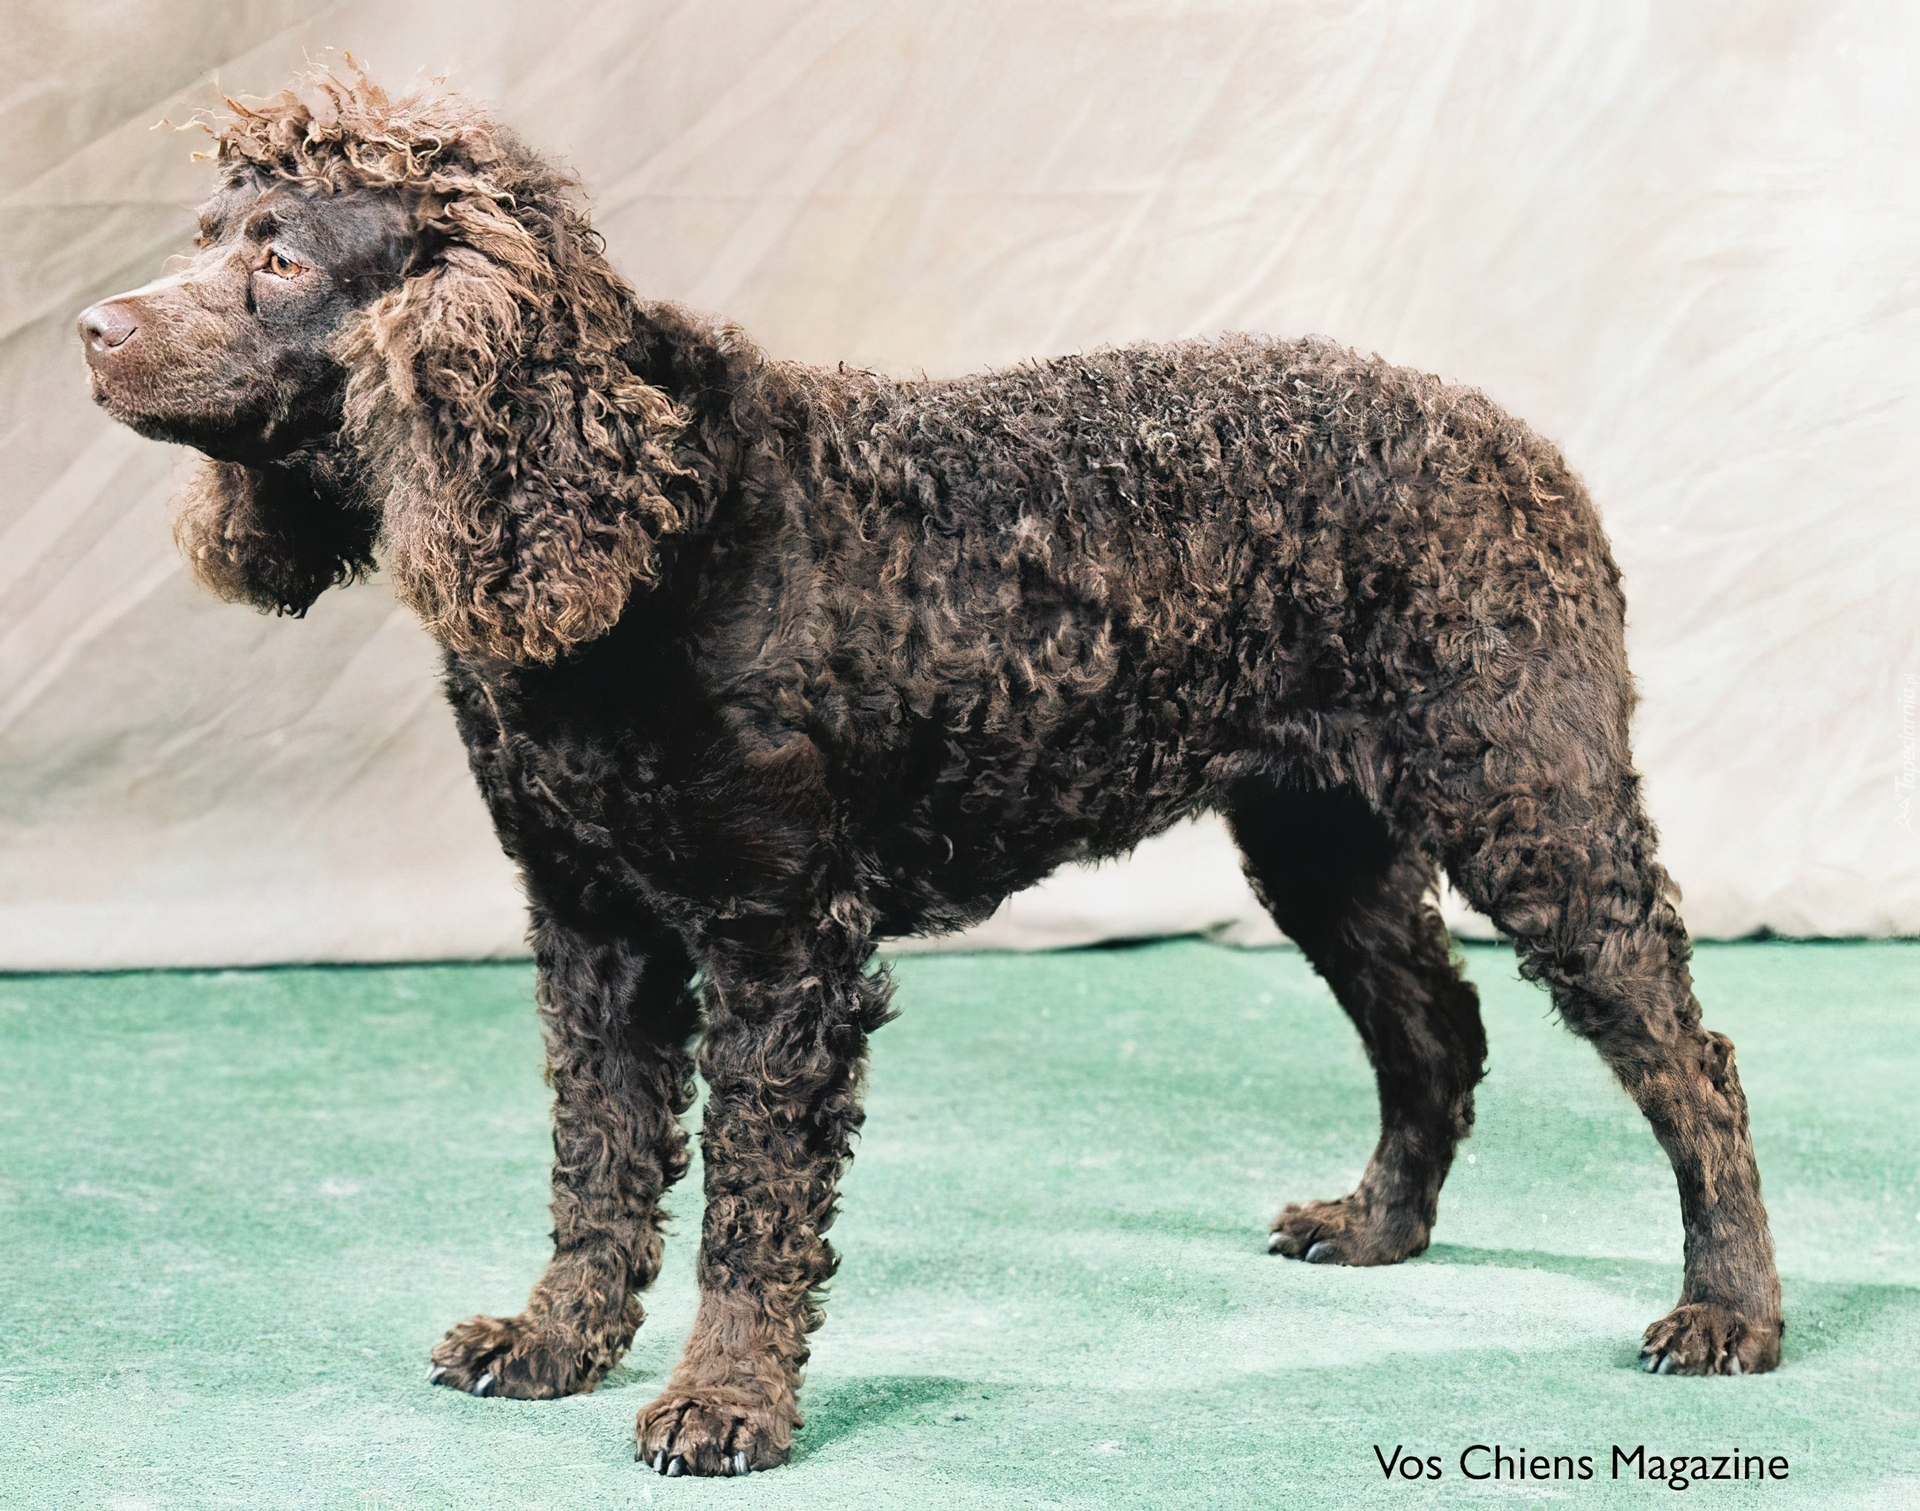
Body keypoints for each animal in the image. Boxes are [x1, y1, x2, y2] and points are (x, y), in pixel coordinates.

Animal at [78, 71, 1781, 1474]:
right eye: (208, 232)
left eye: (282, 259)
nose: (94, 327)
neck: (647, 516)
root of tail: (1526, 447)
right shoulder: (591, 925)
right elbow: (599, 1160)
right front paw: (555, 1337)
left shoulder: (780, 943)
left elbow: (752, 1202)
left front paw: (725, 1398)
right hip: (1323, 839)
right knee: (1435, 1027)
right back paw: (1379, 1226)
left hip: (1539, 813)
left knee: (1693, 1063)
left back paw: (1732, 1310)